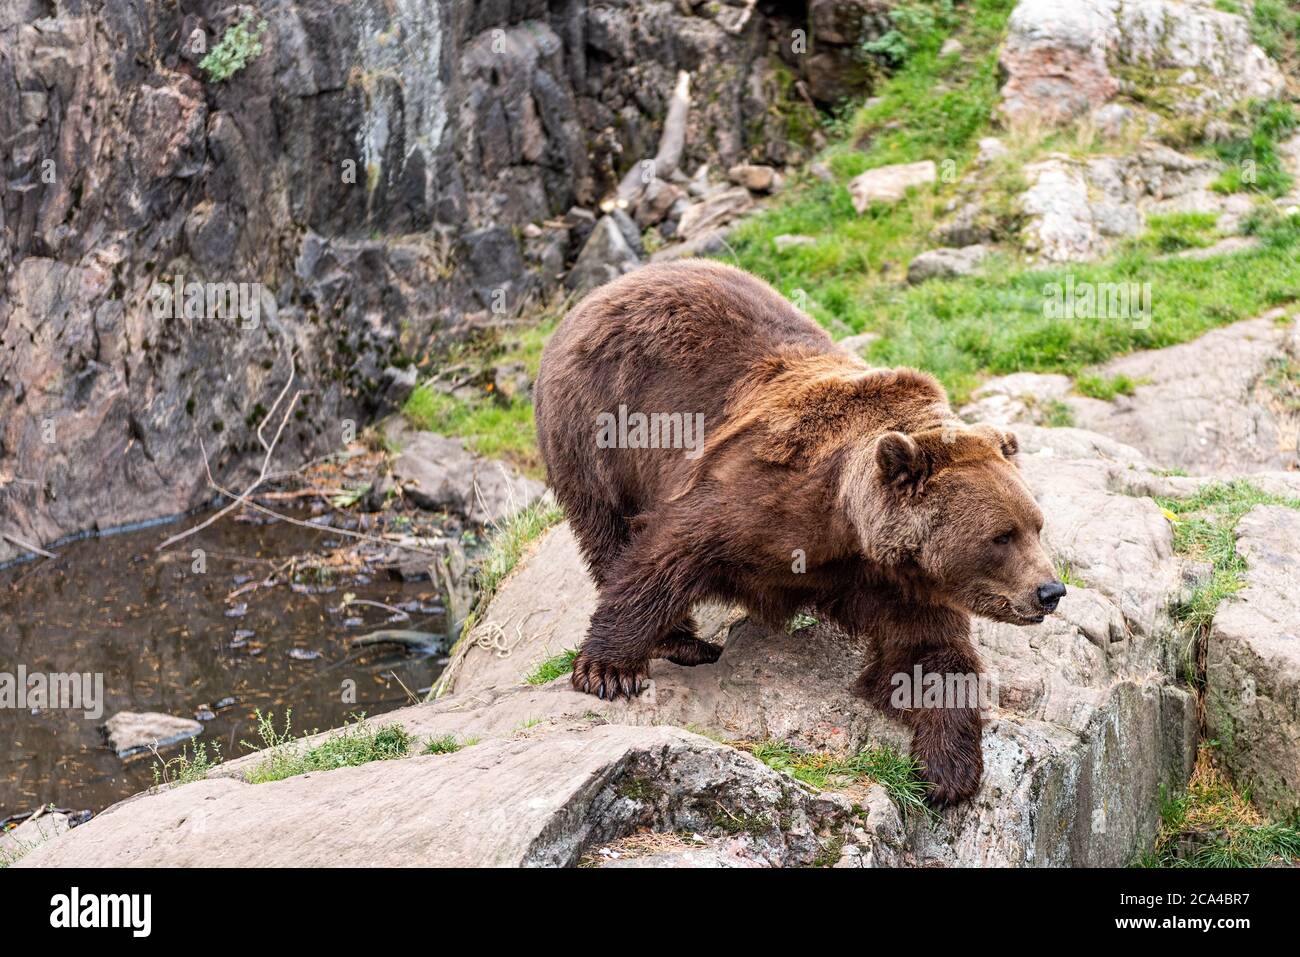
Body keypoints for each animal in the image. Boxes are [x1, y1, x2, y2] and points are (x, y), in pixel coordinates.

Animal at [534, 259, 1066, 803]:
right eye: (1001, 535)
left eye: (1036, 525)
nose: (1050, 590)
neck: (847, 526)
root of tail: (606, 290)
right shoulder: (759, 495)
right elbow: (667, 555)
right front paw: (608, 670)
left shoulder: (893, 580)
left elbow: (927, 655)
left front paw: (947, 770)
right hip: (596, 427)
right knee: (606, 529)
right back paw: (684, 642)